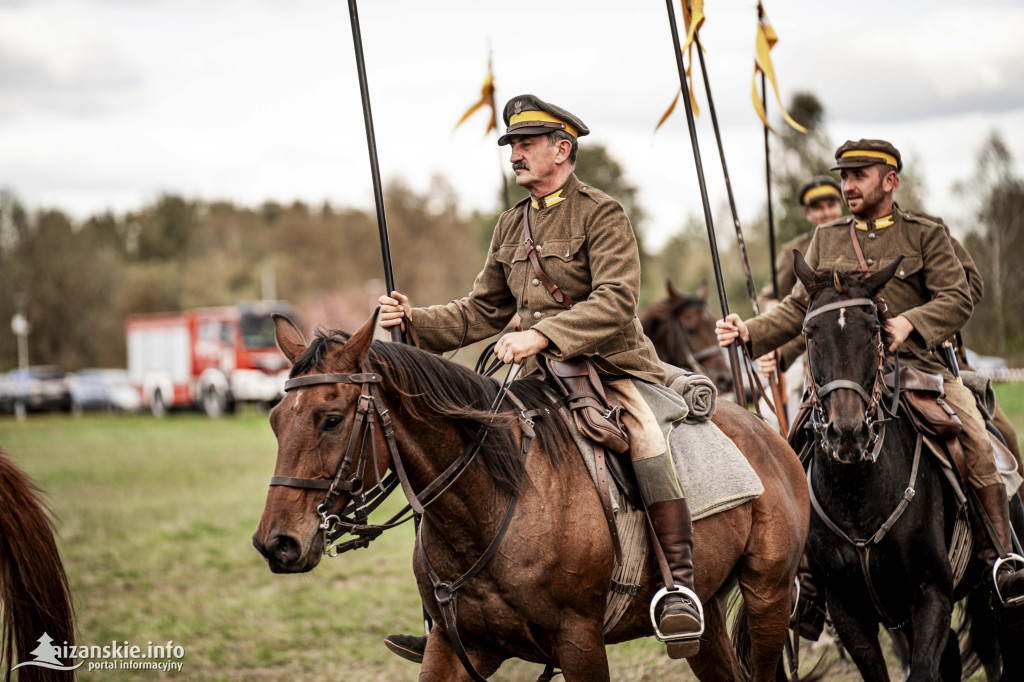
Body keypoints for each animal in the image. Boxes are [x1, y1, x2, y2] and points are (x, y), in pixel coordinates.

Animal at [253, 313, 806, 679]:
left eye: (331, 419)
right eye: (275, 420)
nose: (276, 543)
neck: (491, 507)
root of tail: (767, 432)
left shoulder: (581, 644)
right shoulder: (458, 646)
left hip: (769, 596)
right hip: (707, 621)